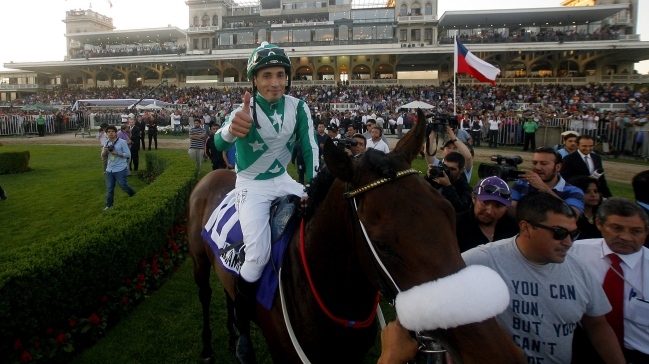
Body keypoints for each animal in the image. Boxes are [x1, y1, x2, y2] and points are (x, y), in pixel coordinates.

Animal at [185, 110, 524, 364]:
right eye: (383, 245)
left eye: (450, 215)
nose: (496, 353)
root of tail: (214, 175)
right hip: (199, 261)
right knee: (206, 294)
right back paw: (211, 347)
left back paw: (236, 339)